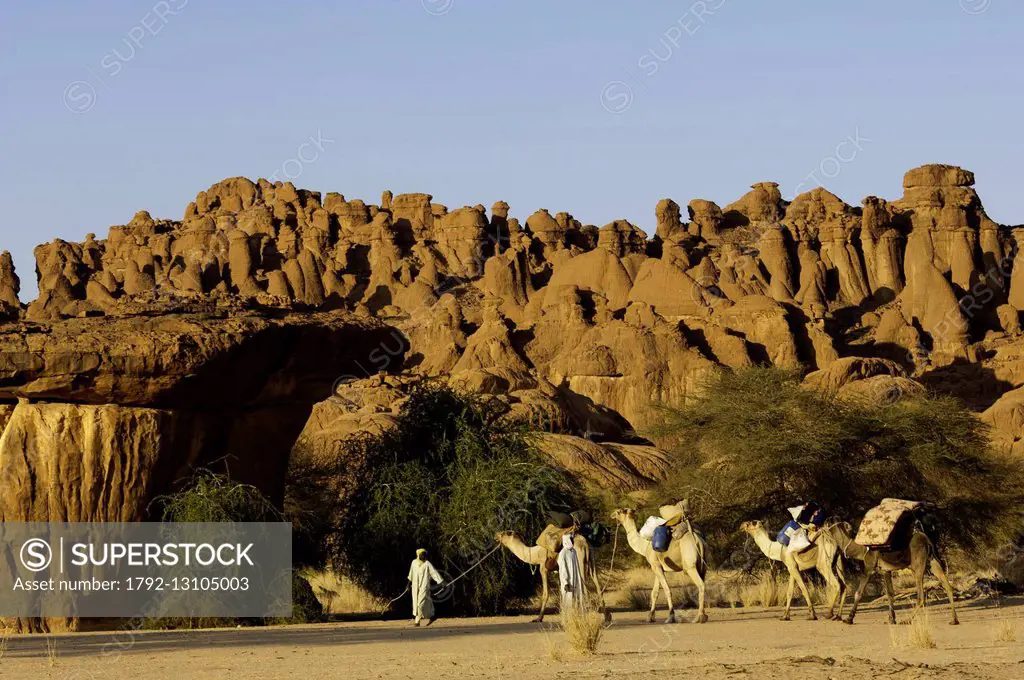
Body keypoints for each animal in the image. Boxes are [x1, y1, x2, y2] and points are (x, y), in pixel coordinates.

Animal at [819, 520, 954, 626]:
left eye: (830, 529)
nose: (823, 530)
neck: (861, 549)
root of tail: (927, 540)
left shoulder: (868, 569)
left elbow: (858, 593)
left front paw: (849, 619)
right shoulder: (886, 571)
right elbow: (890, 594)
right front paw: (891, 619)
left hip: (918, 565)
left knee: (921, 596)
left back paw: (906, 620)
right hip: (933, 562)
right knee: (947, 585)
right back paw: (954, 620)